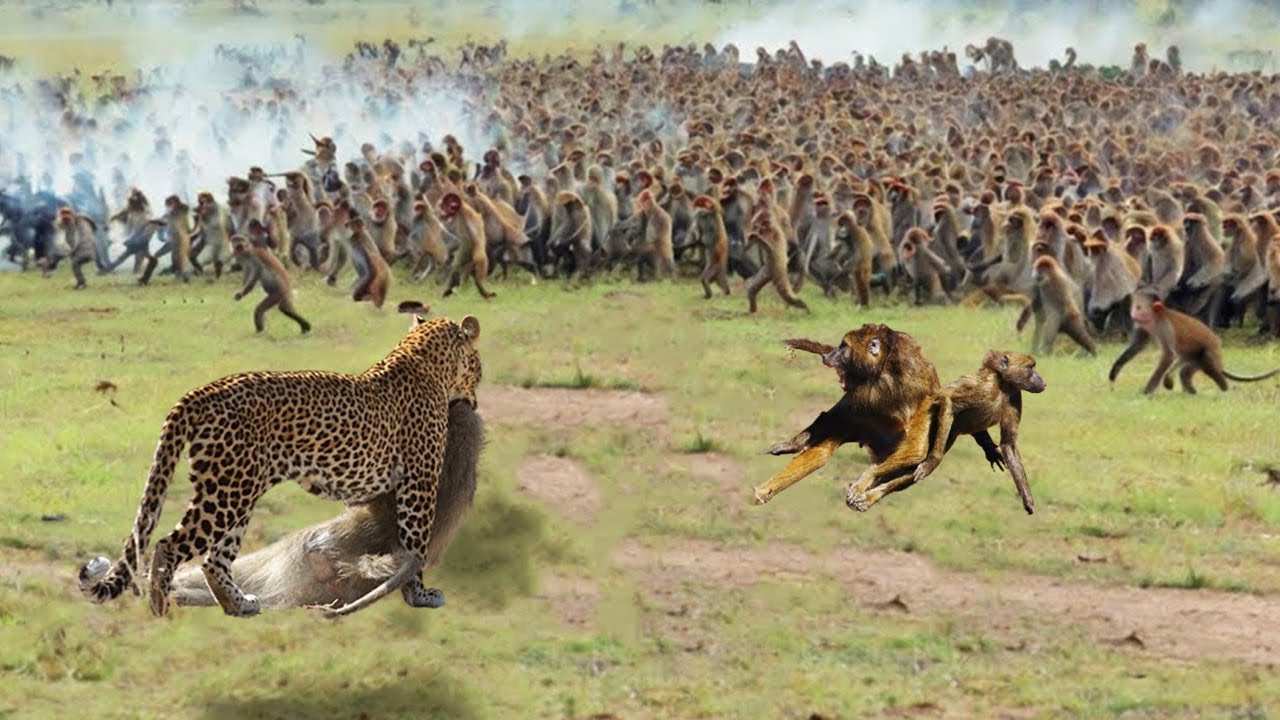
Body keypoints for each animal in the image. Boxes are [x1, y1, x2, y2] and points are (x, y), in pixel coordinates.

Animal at [78, 313, 482, 619]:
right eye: (477, 366)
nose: (476, 398)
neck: (423, 359)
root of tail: (200, 393)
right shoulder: (419, 483)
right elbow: (416, 543)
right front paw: (420, 596)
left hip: (237, 491)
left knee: (214, 559)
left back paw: (239, 606)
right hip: (226, 496)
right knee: (168, 545)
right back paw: (161, 610)